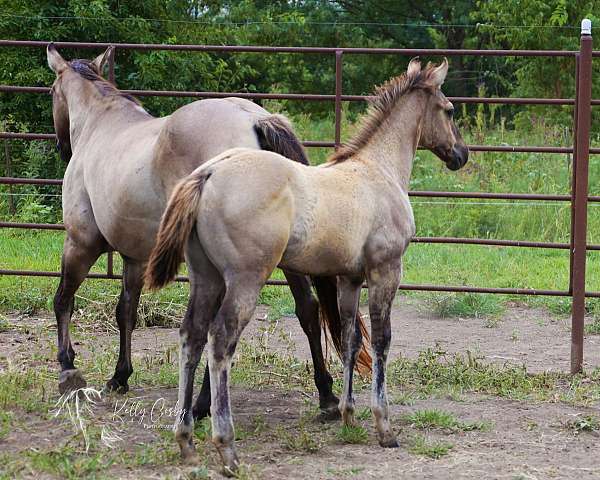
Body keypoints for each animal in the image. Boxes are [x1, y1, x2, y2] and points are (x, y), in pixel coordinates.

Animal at [45, 46, 370, 420]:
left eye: (51, 92)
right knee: (307, 309)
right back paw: (326, 396)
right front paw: (120, 376)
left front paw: (68, 366)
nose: (61, 147)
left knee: (219, 325)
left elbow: (63, 300)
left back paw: (201, 405)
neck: (102, 125)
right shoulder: (136, 257)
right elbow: (126, 310)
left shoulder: (80, 242)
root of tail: (253, 119)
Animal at [145, 57, 468, 472]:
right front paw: (384, 426)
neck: (377, 170)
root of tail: (208, 172)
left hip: (206, 277)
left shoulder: (349, 277)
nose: (461, 154)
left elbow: (350, 338)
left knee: (192, 335)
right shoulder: (386, 270)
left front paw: (348, 414)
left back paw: (185, 439)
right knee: (221, 340)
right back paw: (227, 446)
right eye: (450, 110)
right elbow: (382, 340)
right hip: (245, 280)